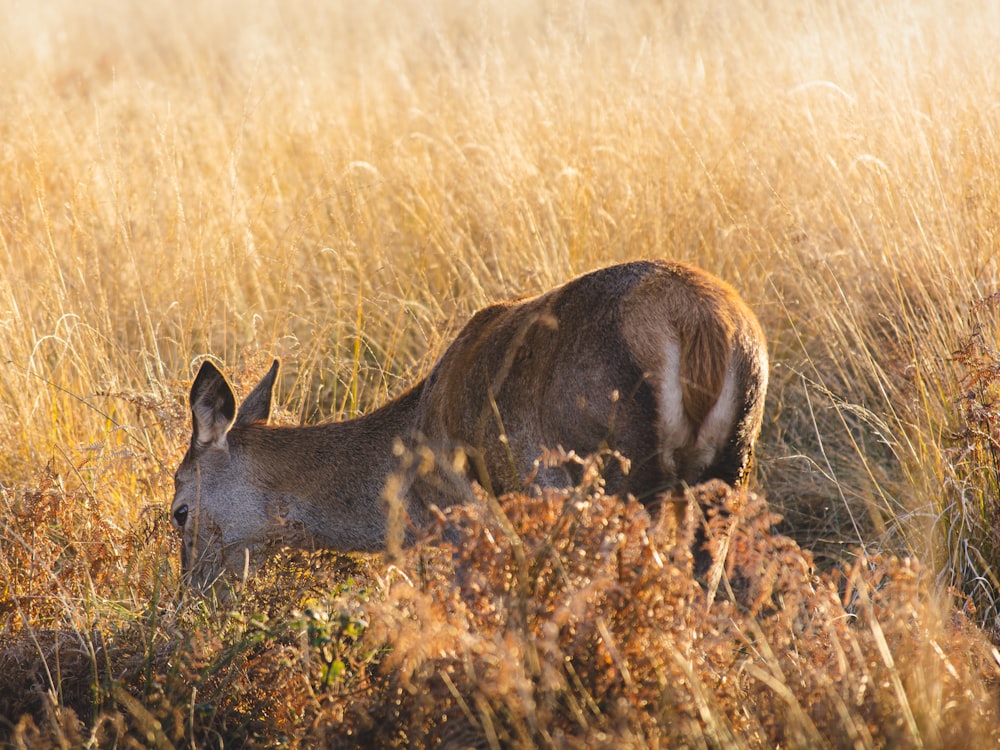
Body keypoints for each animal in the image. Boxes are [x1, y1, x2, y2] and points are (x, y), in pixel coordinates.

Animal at [172, 262, 768, 592]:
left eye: (177, 511)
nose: (189, 594)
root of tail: (705, 328)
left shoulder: (466, 518)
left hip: (608, 478)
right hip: (731, 463)